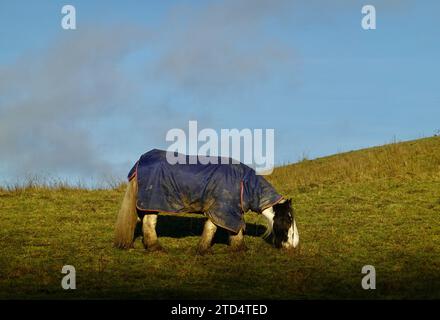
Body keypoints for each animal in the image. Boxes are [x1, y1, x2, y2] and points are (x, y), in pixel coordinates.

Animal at [113, 149, 300, 254]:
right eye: (287, 219)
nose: (293, 246)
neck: (244, 184)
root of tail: (141, 161)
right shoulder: (223, 210)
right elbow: (215, 229)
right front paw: (208, 250)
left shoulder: (229, 211)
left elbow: (229, 230)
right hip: (152, 202)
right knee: (149, 223)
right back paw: (156, 248)